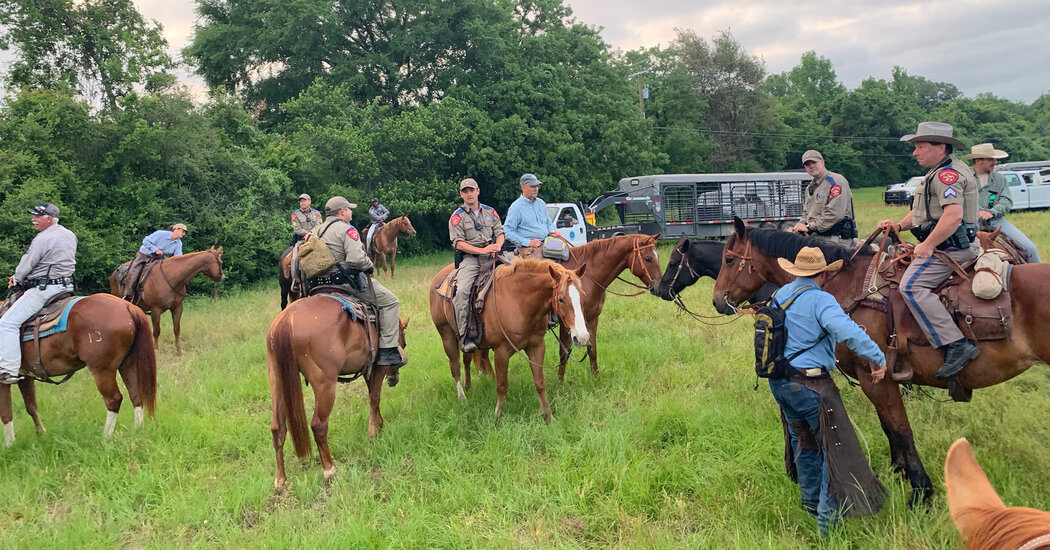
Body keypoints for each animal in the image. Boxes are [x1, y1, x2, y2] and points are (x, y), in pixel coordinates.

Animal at [0, 293, 156, 445]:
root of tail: (127, 306)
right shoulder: (25, 377)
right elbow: (31, 406)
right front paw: (41, 434)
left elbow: (6, 414)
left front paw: (9, 445)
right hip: (128, 364)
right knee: (136, 395)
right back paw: (137, 431)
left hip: (102, 371)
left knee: (113, 400)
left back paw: (105, 437)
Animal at [264, 293, 407, 491]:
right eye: (403, 341)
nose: (394, 378)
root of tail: (286, 319)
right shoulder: (378, 366)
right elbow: (374, 397)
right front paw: (373, 433)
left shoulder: (368, 369)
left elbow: (372, 394)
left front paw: (379, 424)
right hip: (325, 385)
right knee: (318, 425)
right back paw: (329, 470)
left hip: (276, 382)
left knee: (277, 428)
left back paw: (280, 481)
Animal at [428, 260, 592, 424]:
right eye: (561, 299)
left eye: (583, 296)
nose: (582, 337)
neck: (519, 301)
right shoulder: (502, 350)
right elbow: (502, 386)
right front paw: (498, 416)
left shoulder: (536, 346)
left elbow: (539, 383)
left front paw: (548, 416)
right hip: (446, 334)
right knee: (455, 365)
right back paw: (462, 398)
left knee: (467, 359)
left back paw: (468, 386)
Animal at [558, 234, 663, 379]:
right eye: (648, 258)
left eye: (657, 256)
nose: (660, 286)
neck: (587, 276)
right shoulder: (566, 323)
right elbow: (563, 355)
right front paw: (559, 382)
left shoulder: (591, 319)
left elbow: (592, 351)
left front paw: (595, 378)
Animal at [709, 219, 1050, 501]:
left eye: (729, 259)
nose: (717, 300)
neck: (847, 286)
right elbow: (890, 429)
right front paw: (901, 472)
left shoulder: (878, 378)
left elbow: (900, 429)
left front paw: (921, 492)